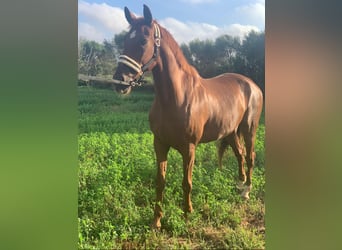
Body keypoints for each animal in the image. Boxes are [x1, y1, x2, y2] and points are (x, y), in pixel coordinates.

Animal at [113, 5, 264, 229]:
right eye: (124, 39)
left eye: (143, 40)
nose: (119, 81)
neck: (176, 97)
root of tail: (252, 85)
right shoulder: (160, 144)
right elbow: (160, 181)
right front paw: (156, 221)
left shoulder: (189, 148)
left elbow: (187, 182)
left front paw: (186, 214)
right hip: (230, 131)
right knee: (239, 154)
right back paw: (239, 184)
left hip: (249, 128)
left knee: (250, 156)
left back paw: (246, 190)